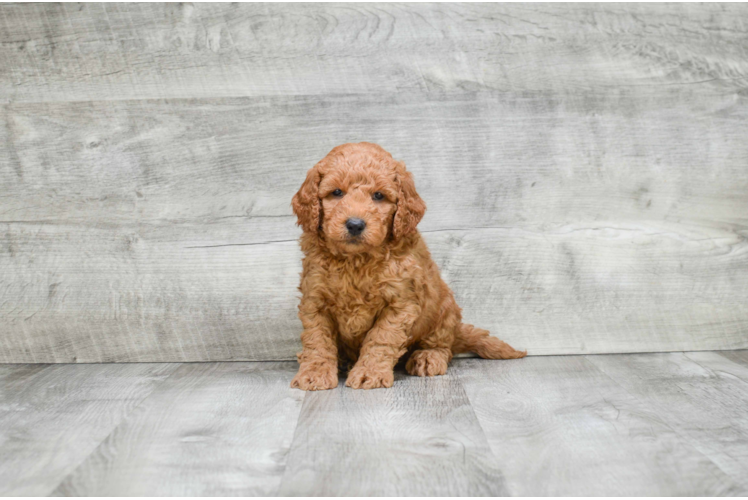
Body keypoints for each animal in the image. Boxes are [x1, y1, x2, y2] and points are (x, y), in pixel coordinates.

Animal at [290, 142, 524, 390]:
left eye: (378, 196)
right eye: (336, 192)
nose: (355, 224)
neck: (356, 260)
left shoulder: (400, 303)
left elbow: (381, 338)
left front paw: (368, 373)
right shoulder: (315, 300)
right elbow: (317, 340)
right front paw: (314, 373)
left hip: (443, 309)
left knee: (442, 345)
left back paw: (428, 357)